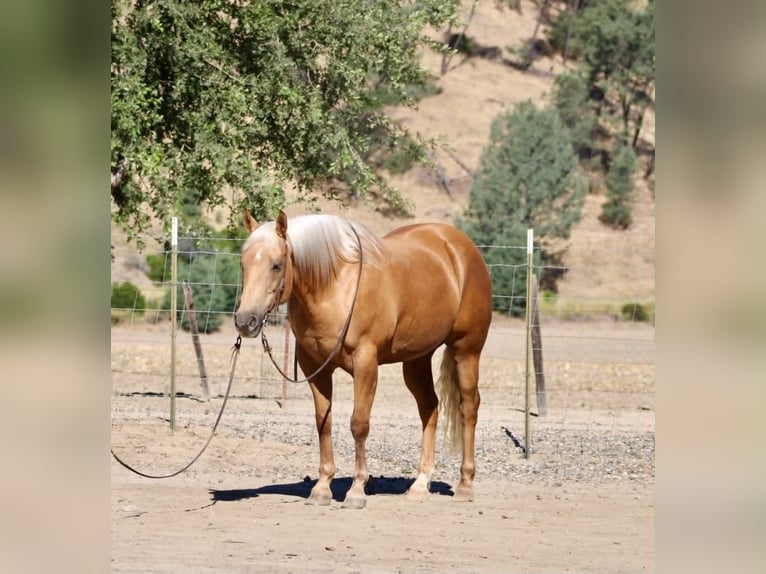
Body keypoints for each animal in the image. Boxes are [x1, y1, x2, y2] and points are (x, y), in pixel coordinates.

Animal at [234, 209, 492, 509]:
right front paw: (322, 488)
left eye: (277, 265)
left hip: (467, 350)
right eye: (243, 263)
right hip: (417, 359)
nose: (245, 321)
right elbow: (323, 422)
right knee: (429, 407)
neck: (334, 287)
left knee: (468, 408)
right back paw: (420, 483)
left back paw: (465, 484)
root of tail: (461, 247)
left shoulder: (365, 363)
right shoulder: (315, 367)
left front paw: (357, 490)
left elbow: (359, 424)